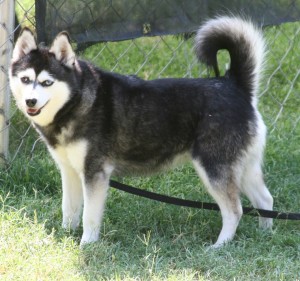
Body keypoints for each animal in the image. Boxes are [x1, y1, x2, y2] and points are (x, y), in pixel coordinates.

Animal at [9, 16, 274, 246]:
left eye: (47, 82)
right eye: (25, 79)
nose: (30, 101)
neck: (75, 103)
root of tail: (234, 85)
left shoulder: (95, 173)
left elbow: (89, 216)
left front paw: (86, 245)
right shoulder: (70, 170)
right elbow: (70, 209)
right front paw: (65, 236)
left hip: (214, 167)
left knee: (235, 210)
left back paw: (220, 245)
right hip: (243, 167)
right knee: (265, 199)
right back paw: (265, 235)